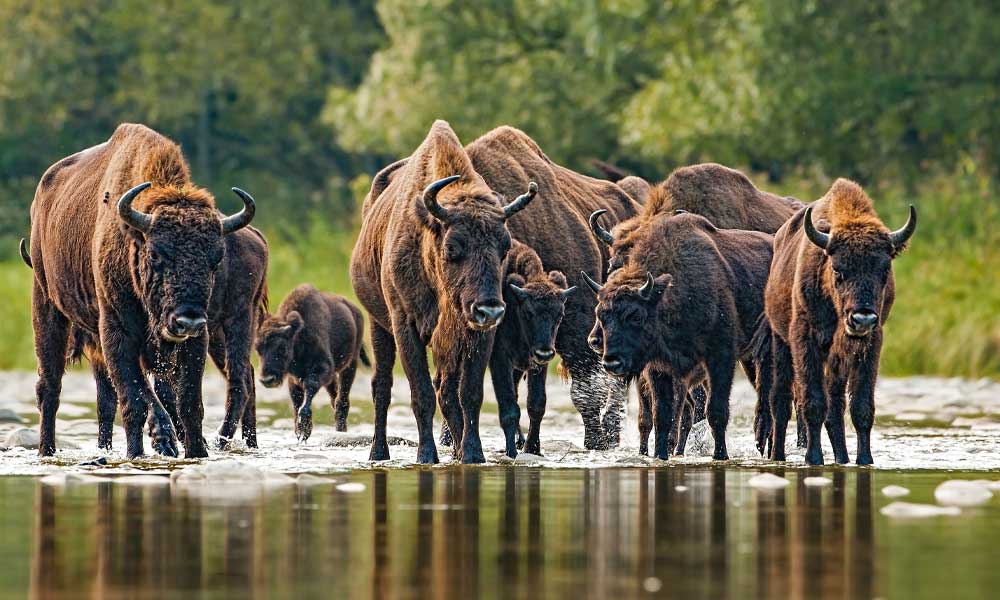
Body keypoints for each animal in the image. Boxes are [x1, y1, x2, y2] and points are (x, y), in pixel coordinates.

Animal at [25, 123, 257, 458]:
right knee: (50, 385)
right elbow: (134, 399)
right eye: (157, 254)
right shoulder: (116, 331)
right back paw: (47, 449)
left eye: (216, 259)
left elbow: (188, 403)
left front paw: (196, 452)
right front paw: (142, 449)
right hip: (47, 304)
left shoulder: (196, 341)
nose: (187, 320)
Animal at [256, 284, 369, 440]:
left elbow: (310, 386)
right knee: (335, 399)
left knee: (342, 400)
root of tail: (355, 311)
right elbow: (296, 399)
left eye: (282, 347)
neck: (298, 336)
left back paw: (341, 430)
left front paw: (304, 428)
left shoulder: (322, 368)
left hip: (351, 363)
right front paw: (299, 429)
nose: (267, 379)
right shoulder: (294, 377)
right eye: (257, 348)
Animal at [350, 120, 536, 464]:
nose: (489, 310)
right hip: (378, 325)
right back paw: (378, 452)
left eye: (504, 247)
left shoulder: (477, 336)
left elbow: (468, 394)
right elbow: (421, 393)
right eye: (452, 248)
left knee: (446, 391)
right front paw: (426, 456)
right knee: (382, 386)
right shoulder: (405, 326)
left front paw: (473, 453)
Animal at [584, 212, 774, 460]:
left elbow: (716, 411)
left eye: (636, 315)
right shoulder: (658, 368)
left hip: (763, 353)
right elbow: (662, 416)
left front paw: (720, 455)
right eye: (601, 313)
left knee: (769, 402)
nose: (611, 361)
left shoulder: (720, 357)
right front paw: (660, 455)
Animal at [764, 179, 916, 465]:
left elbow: (860, 407)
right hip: (780, 342)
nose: (862, 319)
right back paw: (778, 455)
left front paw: (865, 459)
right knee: (781, 401)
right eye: (837, 269)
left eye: (884, 269)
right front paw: (813, 458)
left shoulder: (870, 344)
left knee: (835, 409)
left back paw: (842, 458)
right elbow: (813, 403)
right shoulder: (806, 340)